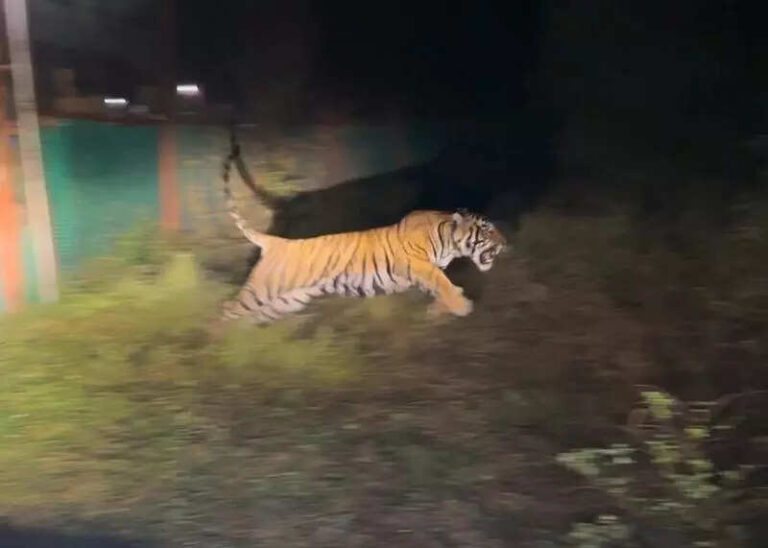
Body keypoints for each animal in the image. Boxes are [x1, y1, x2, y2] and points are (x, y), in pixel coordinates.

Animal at [220, 130, 508, 324]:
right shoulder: (418, 259)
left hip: (288, 287)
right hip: (270, 281)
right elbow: (441, 281)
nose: (505, 242)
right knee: (233, 304)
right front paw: (459, 304)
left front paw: (441, 307)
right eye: (488, 230)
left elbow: (441, 286)